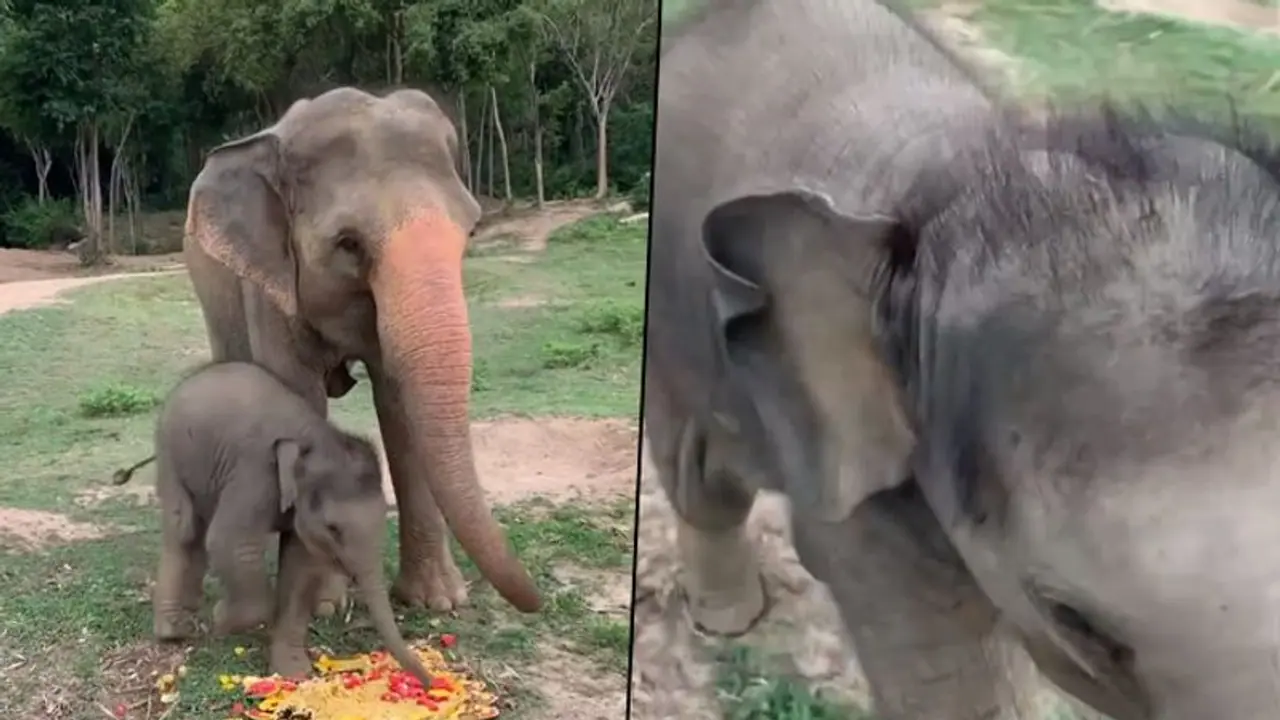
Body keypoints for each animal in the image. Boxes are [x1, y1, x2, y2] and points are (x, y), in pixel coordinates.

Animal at [113, 361, 434, 683]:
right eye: (333, 528)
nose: (432, 682)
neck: (313, 439)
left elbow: (300, 564)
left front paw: (293, 672)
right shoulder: (255, 475)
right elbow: (231, 543)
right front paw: (220, 616)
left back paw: (190, 611)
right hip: (170, 451)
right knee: (184, 528)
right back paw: (174, 631)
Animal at [181, 86, 539, 618]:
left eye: (471, 232)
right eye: (347, 243)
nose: (538, 599)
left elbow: (398, 406)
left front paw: (437, 601)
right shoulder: (271, 284)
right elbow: (299, 398)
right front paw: (322, 604)